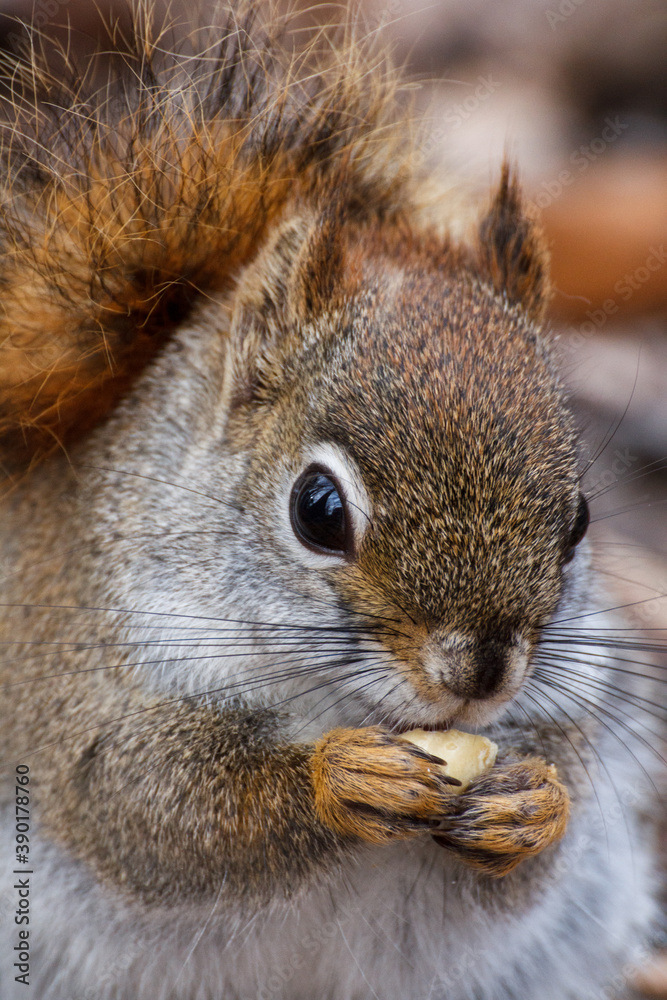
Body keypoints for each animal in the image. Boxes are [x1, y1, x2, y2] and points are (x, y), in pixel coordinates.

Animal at [0, 1, 660, 1000]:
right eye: (317, 510)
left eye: (579, 520)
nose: (478, 675)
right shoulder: (80, 683)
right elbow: (147, 807)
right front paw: (340, 781)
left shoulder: (573, 707)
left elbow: (540, 849)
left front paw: (530, 804)